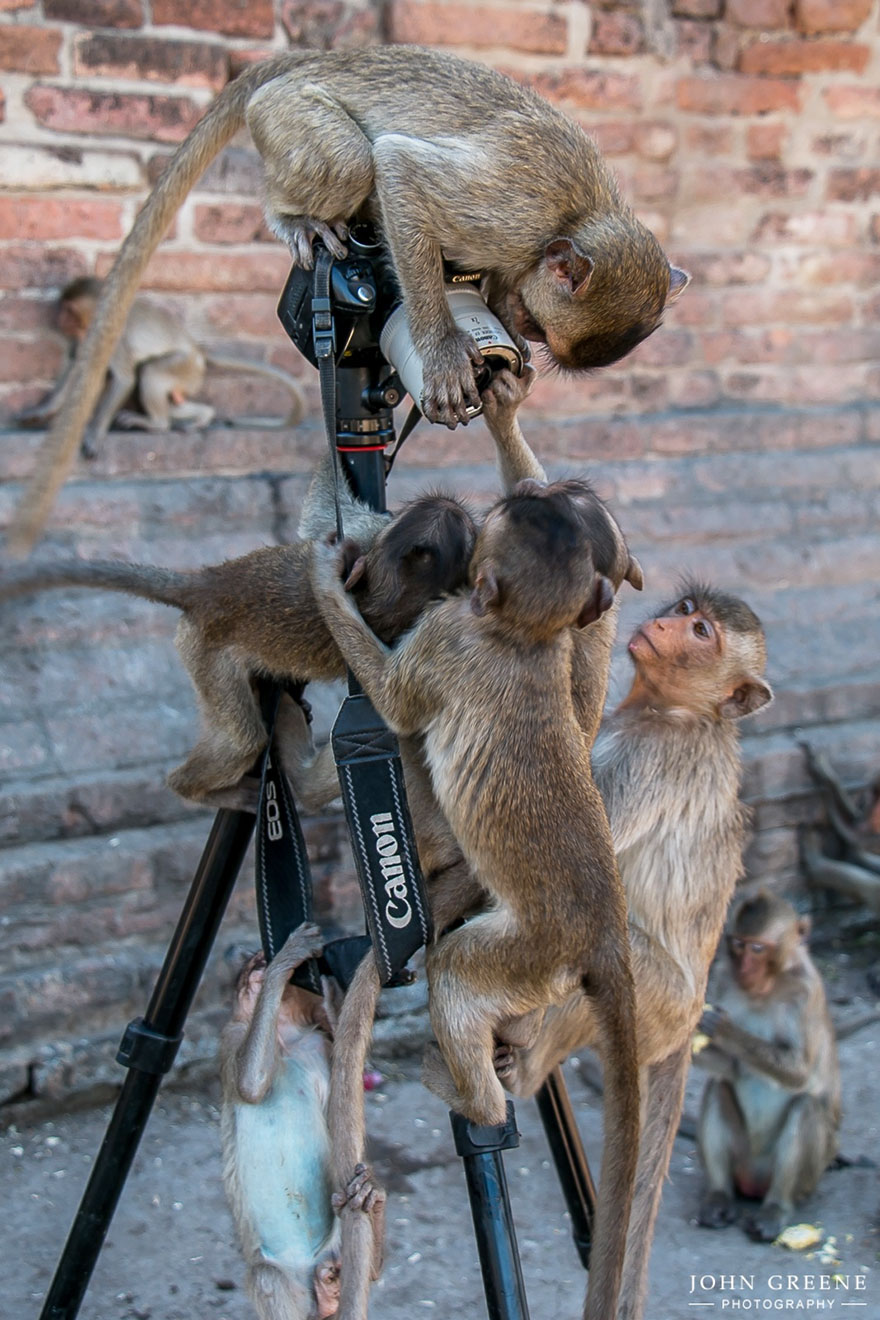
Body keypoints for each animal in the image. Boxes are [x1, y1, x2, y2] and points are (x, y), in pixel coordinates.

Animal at [0, 474, 477, 804]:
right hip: (204, 646)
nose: (454, 504)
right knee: (241, 741)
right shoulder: (360, 539)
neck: (386, 588)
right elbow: (323, 511)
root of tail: (208, 586)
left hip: (202, 650)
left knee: (241, 740)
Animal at [15, 276, 306, 456]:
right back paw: (202, 417)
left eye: (67, 310)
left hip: (183, 367)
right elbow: (78, 368)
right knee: (172, 397)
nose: (58, 317)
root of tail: (198, 350)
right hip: (188, 378)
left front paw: (94, 433)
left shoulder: (111, 337)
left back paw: (156, 424)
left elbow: (124, 379)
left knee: (151, 372)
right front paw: (41, 410)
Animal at [220, 921, 386, 1320]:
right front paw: (286, 959)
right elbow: (249, 1083)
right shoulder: (232, 1039)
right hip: (285, 1281)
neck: (284, 1041)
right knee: (267, 1276)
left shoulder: (316, 1047)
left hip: (332, 1247)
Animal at [310, 479, 642, 1320]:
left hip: (530, 952)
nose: (522, 489)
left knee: (457, 973)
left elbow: (393, 700)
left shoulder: (446, 638)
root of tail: (606, 932)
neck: (523, 636)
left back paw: (476, 1100)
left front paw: (326, 580)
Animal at [694, 889, 841, 1243]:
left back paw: (775, 1208)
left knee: (806, 1107)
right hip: (741, 1160)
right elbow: (731, 1068)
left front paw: (723, 1028)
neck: (767, 988)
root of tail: (753, 1183)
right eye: (738, 943)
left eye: (758, 948)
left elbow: (800, 1073)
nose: (746, 969)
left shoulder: (806, 992)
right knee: (718, 1089)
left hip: (806, 1178)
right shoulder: (723, 976)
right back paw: (719, 1196)